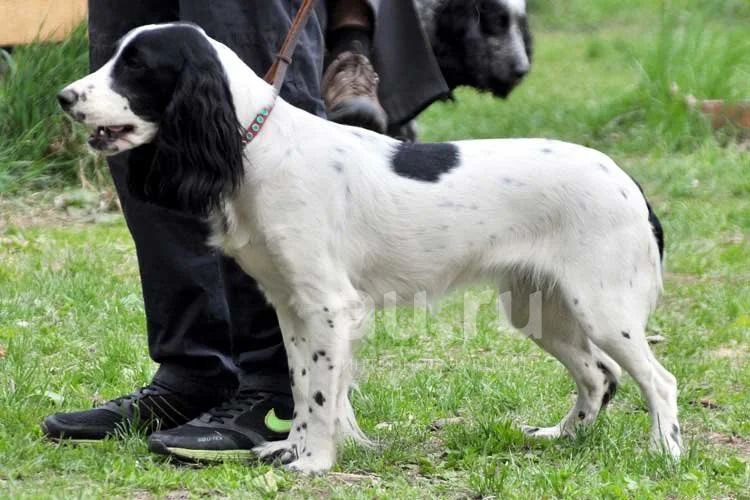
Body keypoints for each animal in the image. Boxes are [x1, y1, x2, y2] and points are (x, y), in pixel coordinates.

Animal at [57, 23, 680, 474]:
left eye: (136, 65)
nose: (64, 97)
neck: (260, 148)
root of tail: (629, 183)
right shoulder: (291, 306)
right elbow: (302, 387)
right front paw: (293, 449)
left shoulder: (328, 305)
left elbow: (319, 393)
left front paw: (312, 462)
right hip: (540, 310)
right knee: (598, 376)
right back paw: (562, 436)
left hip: (601, 309)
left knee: (657, 380)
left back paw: (665, 454)